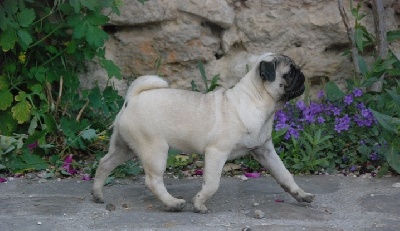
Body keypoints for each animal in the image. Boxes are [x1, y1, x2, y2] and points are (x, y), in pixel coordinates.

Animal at [92, 52, 314, 213]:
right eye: (290, 73)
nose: (303, 75)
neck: (258, 101)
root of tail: (133, 98)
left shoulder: (265, 151)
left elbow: (285, 175)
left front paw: (301, 194)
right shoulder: (217, 152)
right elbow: (212, 183)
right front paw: (199, 204)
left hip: (124, 148)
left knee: (104, 163)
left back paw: (97, 194)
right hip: (155, 149)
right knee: (153, 181)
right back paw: (173, 203)